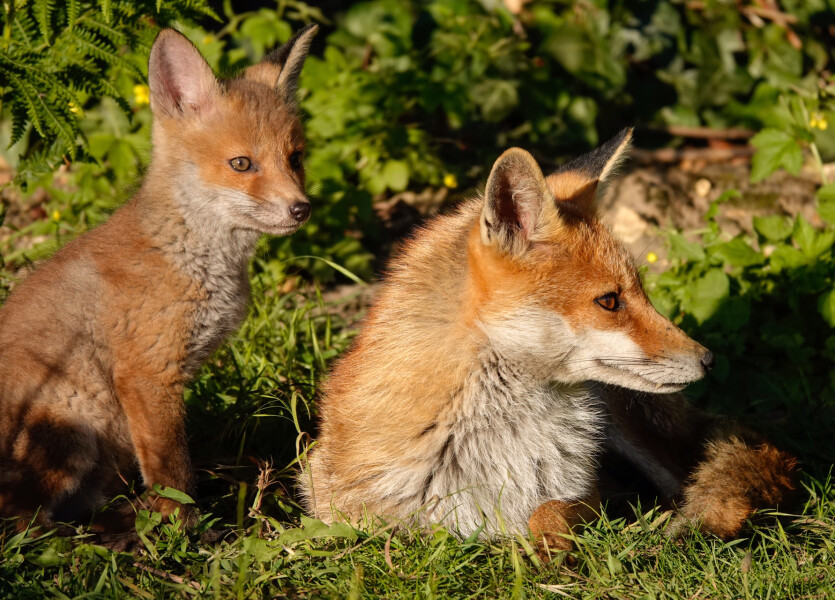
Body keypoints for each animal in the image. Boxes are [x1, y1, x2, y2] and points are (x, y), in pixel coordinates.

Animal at [0, 24, 318, 529]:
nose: (301, 208)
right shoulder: (147, 372)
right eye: (242, 164)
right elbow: (173, 471)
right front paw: (179, 528)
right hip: (69, 426)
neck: (187, 257)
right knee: (21, 521)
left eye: (296, 158)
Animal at [301, 129, 797, 551]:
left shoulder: (585, 493)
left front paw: (551, 547)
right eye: (610, 301)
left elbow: (550, 511)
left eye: (642, 292)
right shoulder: (337, 504)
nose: (708, 359)